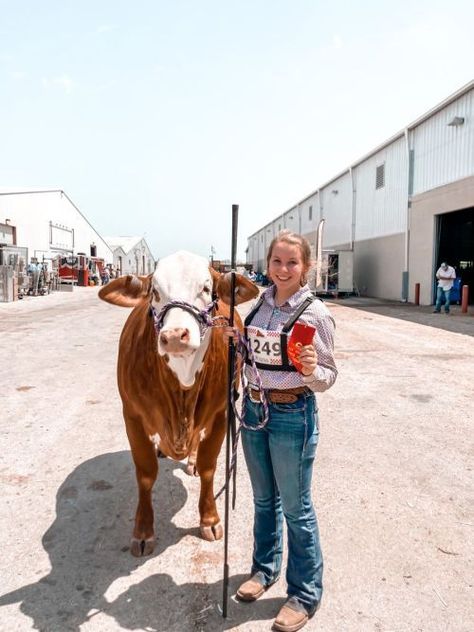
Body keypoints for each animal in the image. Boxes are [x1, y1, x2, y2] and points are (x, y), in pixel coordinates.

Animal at [97, 249, 258, 556]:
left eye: (206, 289)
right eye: (155, 292)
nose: (174, 336)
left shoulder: (221, 414)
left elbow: (208, 466)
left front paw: (210, 519)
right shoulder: (132, 416)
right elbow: (146, 473)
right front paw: (143, 531)